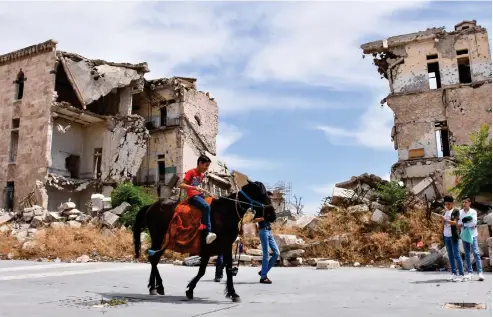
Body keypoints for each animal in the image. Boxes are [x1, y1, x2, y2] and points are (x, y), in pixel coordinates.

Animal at [133, 180, 274, 302]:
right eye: (261, 195)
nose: (272, 215)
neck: (225, 213)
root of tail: (151, 206)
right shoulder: (209, 248)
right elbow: (203, 271)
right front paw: (190, 290)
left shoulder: (225, 247)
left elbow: (224, 270)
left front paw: (233, 293)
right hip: (158, 238)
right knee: (153, 259)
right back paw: (158, 287)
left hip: (163, 242)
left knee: (154, 258)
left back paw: (153, 287)